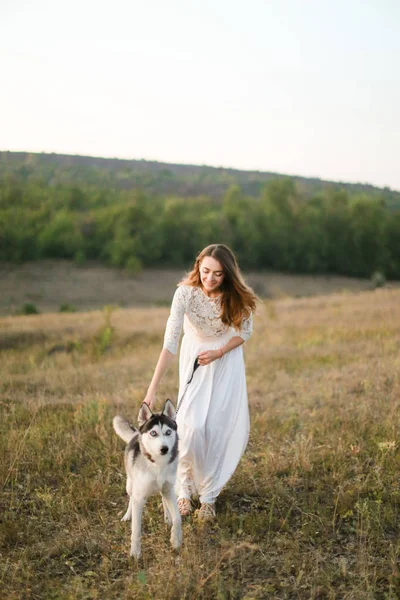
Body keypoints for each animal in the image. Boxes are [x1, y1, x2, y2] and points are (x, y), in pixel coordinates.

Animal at [111, 398, 182, 556]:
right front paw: (135, 553)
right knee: (130, 498)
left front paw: (175, 540)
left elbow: (178, 518)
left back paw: (167, 517)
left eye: (168, 432)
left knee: (163, 498)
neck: (158, 465)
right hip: (130, 484)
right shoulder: (139, 497)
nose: (164, 449)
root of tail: (136, 434)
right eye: (153, 433)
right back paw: (127, 515)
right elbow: (136, 530)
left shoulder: (168, 489)